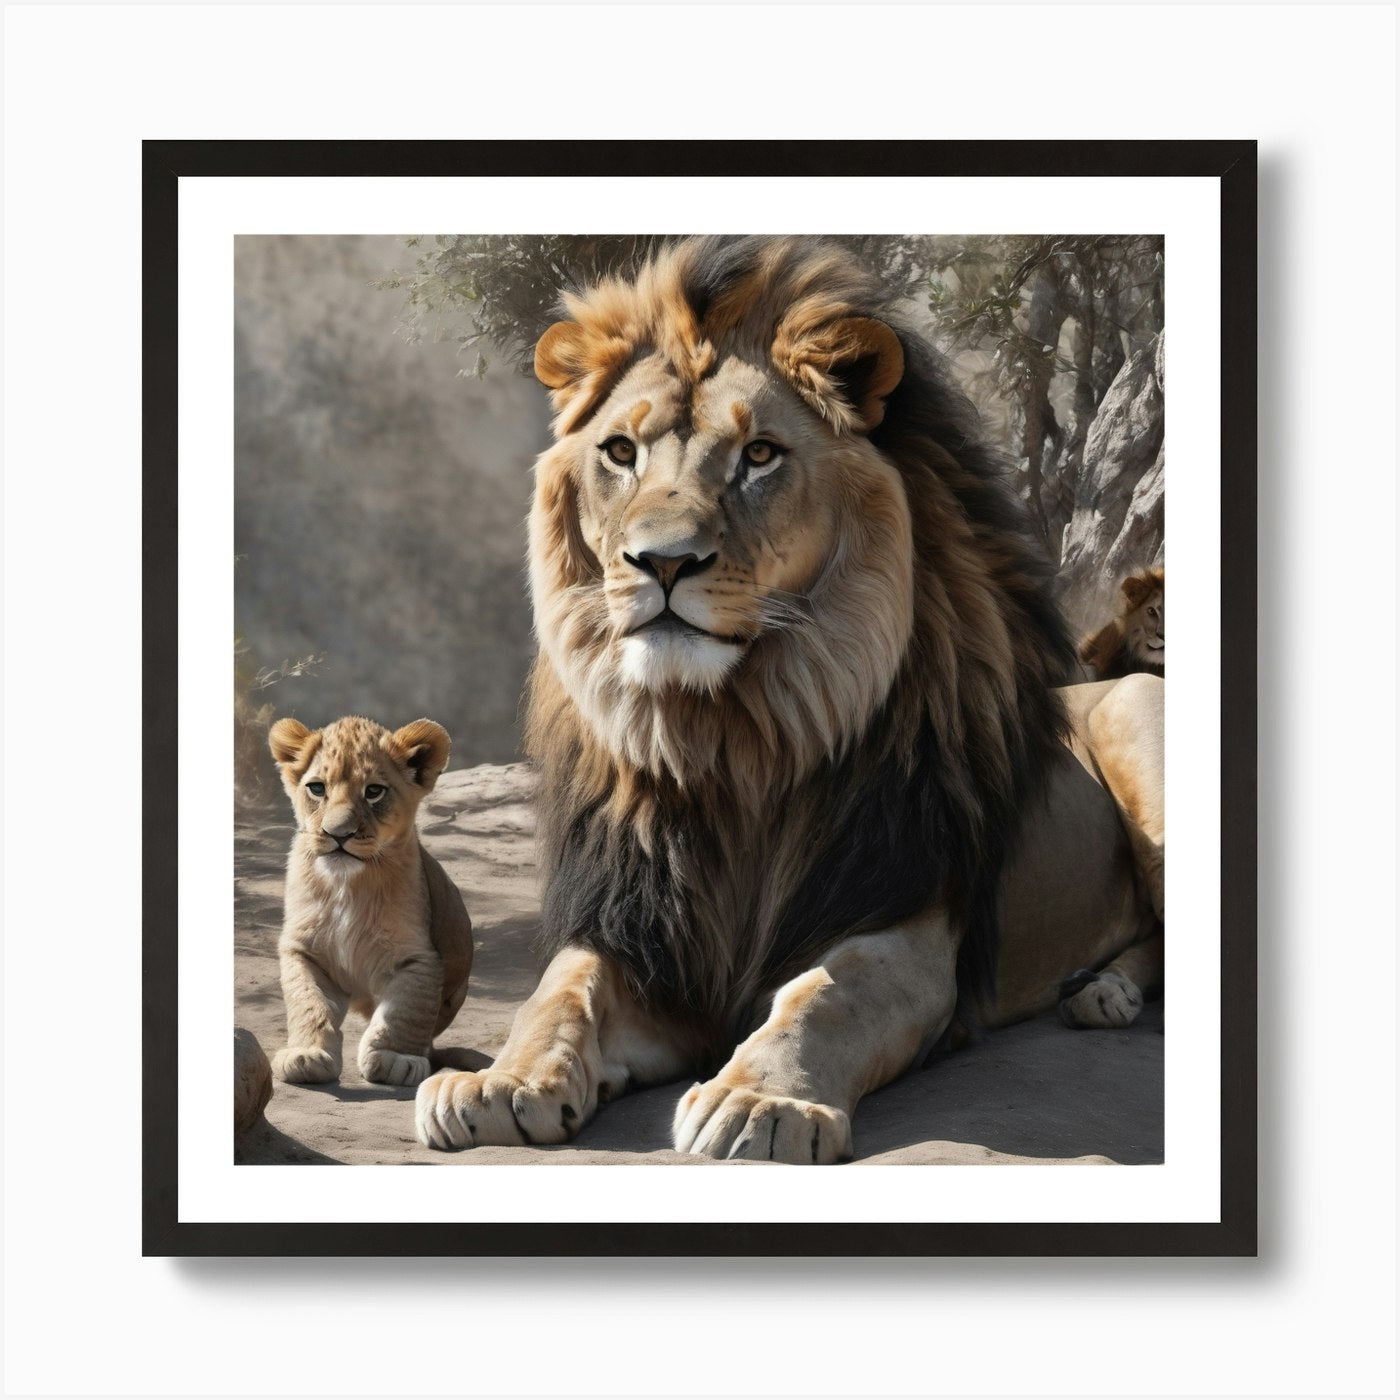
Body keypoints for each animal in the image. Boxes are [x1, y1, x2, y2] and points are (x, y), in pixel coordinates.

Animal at [268, 714, 474, 1088]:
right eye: (317, 788)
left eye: (374, 791)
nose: (338, 834)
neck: (347, 885)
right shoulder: (304, 950)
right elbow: (309, 1003)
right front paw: (306, 1055)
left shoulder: (417, 957)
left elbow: (403, 1013)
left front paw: (395, 1059)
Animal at [414, 237, 1164, 1162]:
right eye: (620, 453)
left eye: (760, 456)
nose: (661, 562)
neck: (733, 739)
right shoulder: (643, 935)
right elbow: (559, 992)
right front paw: (499, 1081)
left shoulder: (909, 924)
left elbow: (824, 997)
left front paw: (758, 1100)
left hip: (1139, 718)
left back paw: (1107, 994)